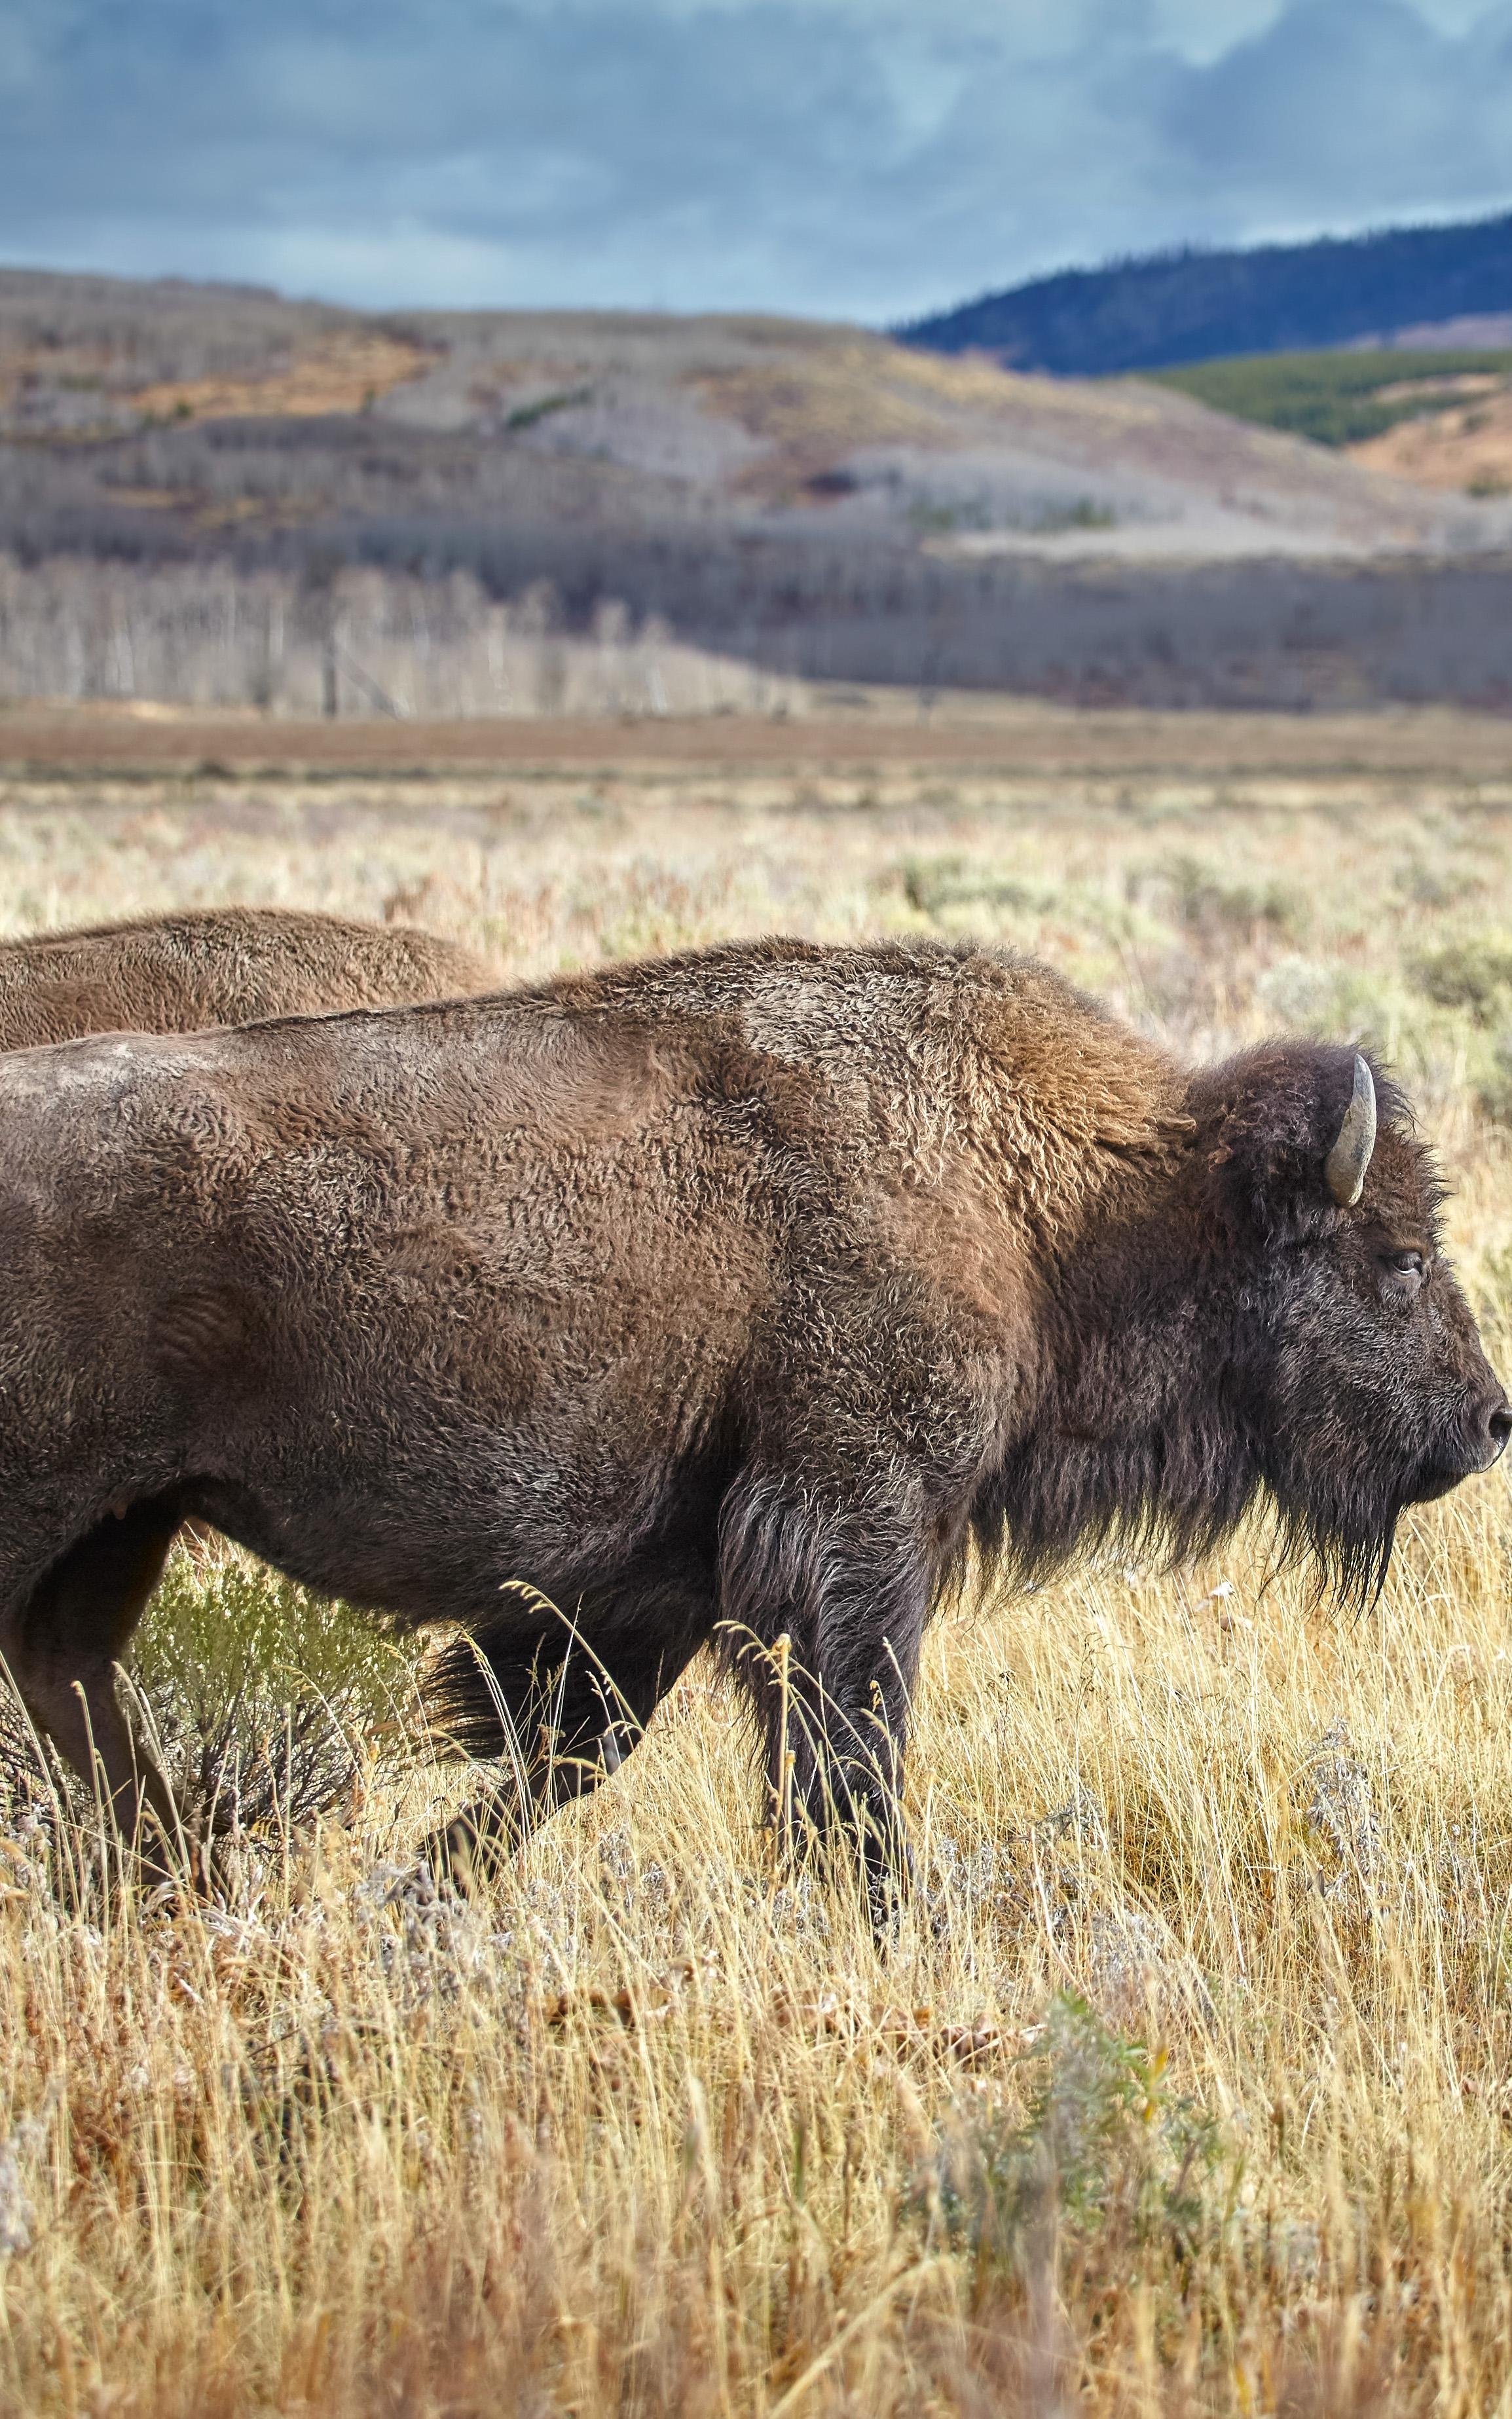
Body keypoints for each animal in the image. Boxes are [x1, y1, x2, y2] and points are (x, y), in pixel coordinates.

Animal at [0, 933, 1500, 1896]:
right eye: (1393, 1257)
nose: (1485, 1419)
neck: (1052, 1201)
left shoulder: (658, 1580)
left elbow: (574, 1750)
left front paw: (409, 1898)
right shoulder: (852, 1526)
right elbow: (846, 1756)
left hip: (124, 1520)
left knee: (69, 1671)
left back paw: (176, 1879)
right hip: (56, 1505)